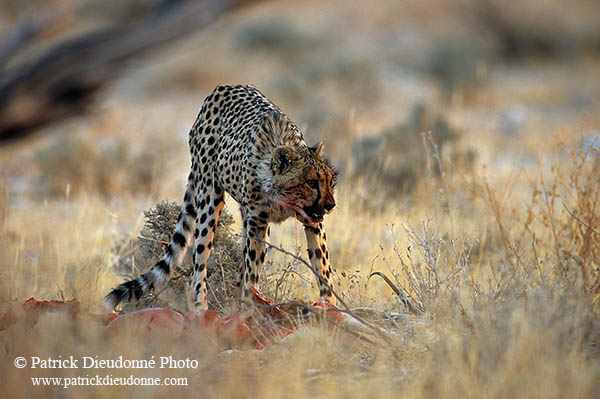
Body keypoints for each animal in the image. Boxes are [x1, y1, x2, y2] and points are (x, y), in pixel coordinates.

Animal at [106, 84, 338, 314]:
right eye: (311, 182)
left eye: (331, 181)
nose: (331, 205)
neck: (281, 198)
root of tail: (222, 88)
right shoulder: (258, 222)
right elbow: (252, 270)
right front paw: (249, 305)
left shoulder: (310, 221)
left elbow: (322, 266)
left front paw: (331, 305)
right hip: (209, 198)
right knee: (198, 263)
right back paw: (200, 307)